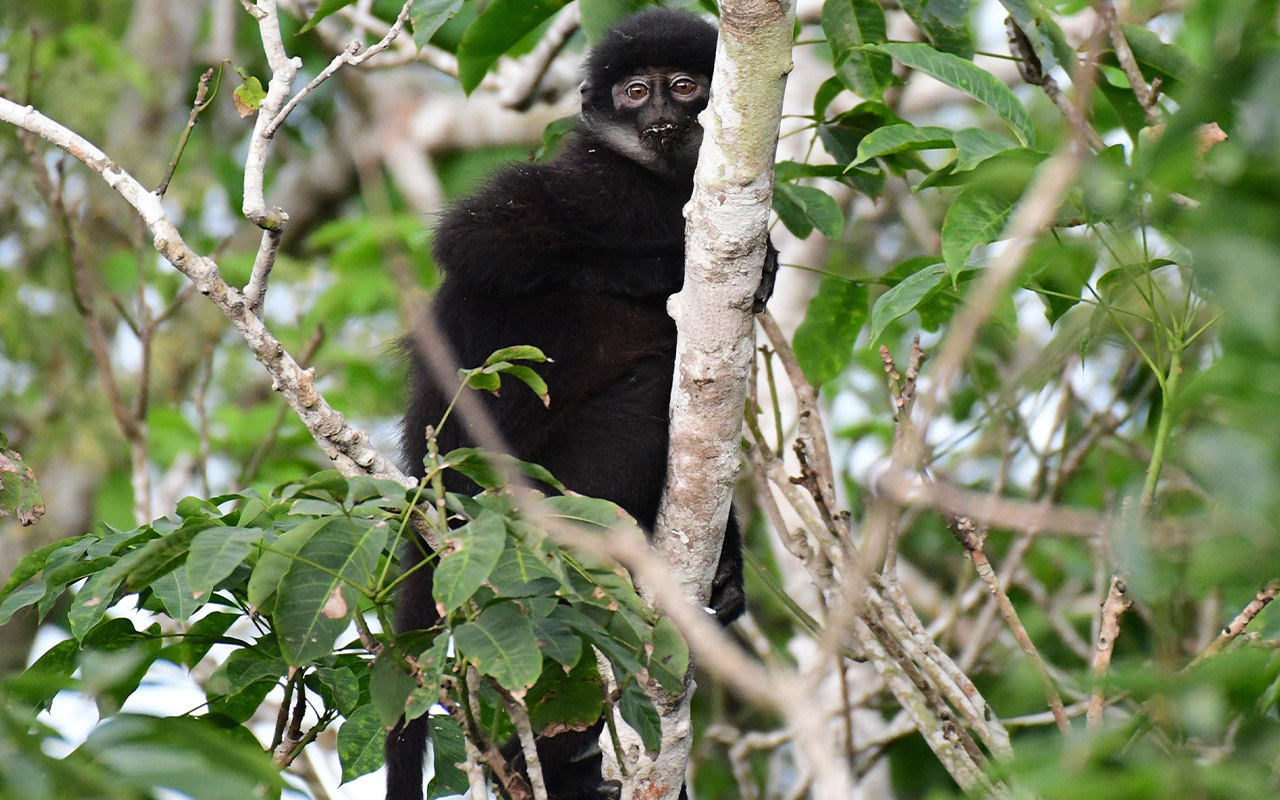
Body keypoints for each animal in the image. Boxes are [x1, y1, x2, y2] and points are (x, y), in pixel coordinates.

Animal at [384, 7, 773, 798]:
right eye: (634, 91)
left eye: (684, 85)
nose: (659, 118)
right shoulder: (589, 183)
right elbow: (476, 240)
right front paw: (673, 269)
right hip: (551, 486)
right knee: (652, 387)